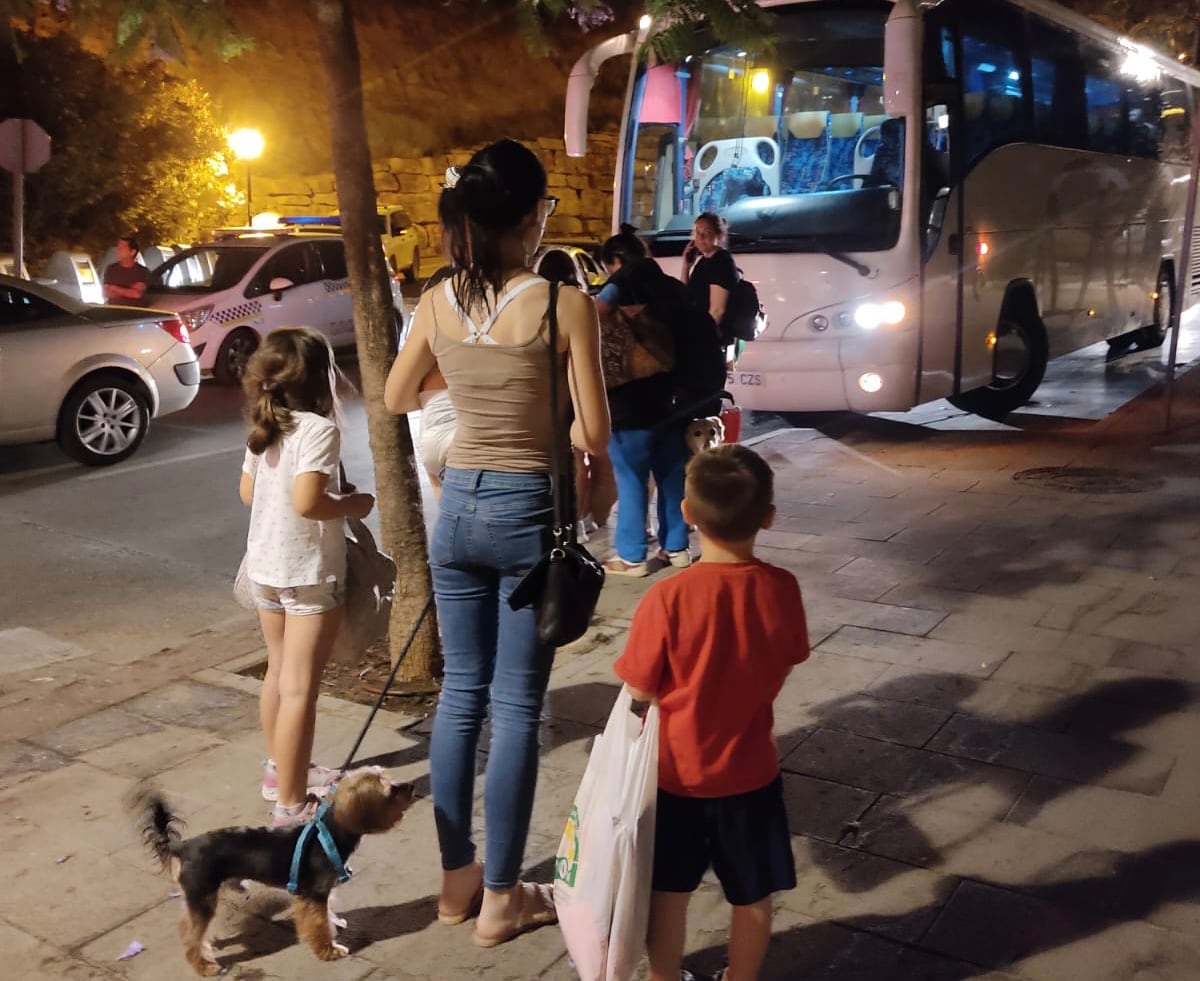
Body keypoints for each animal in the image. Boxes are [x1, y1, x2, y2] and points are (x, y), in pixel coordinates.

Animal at [130, 767, 412, 973]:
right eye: (390, 790)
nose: (411, 786)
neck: (331, 832)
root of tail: (183, 847)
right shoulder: (314, 895)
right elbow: (318, 925)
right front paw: (329, 950)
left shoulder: (320, 893)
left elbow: (327, 916)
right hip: (203, 895)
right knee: (190, 936)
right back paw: (205, 967)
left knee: (188, 926)